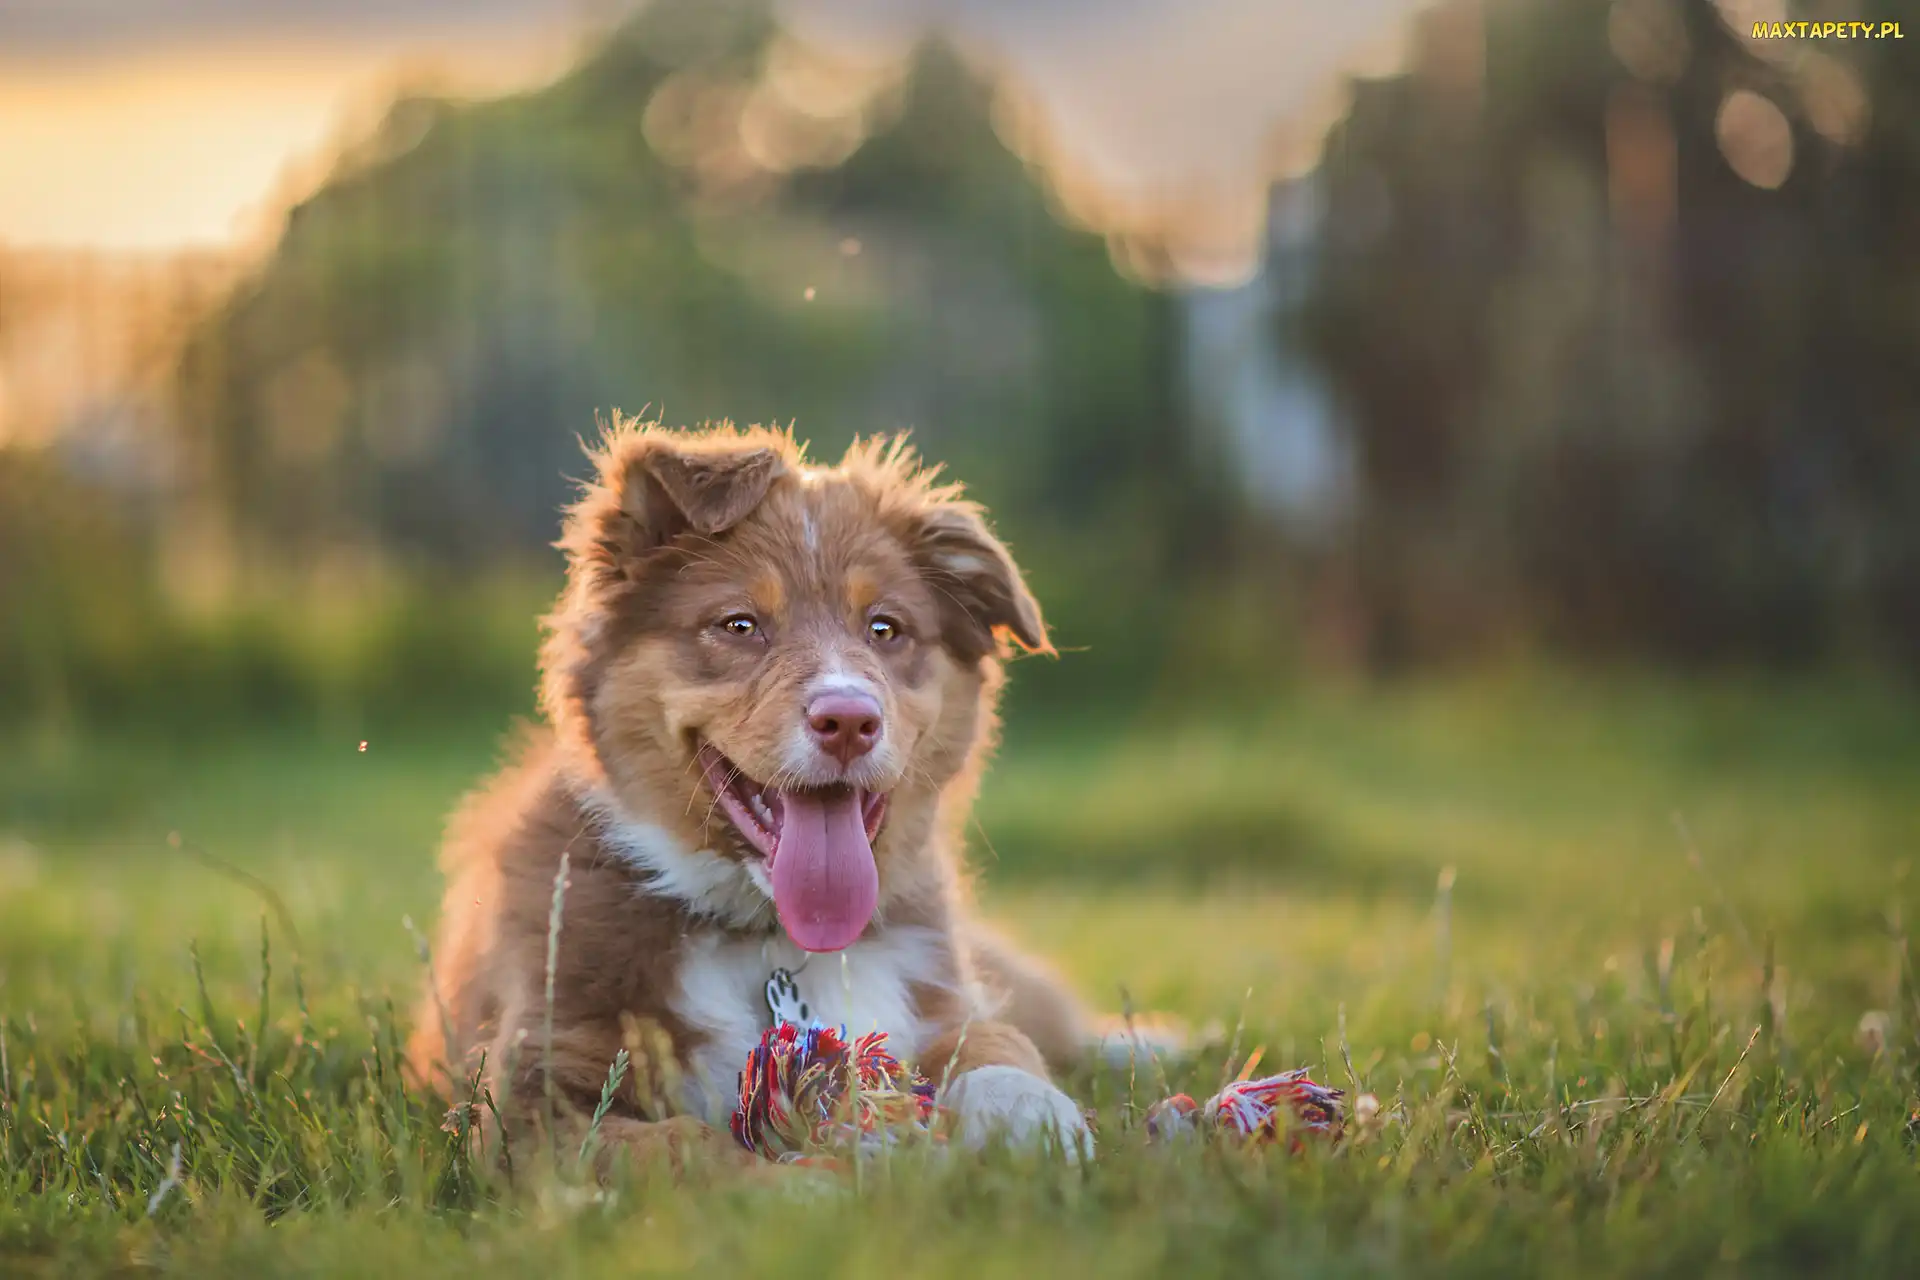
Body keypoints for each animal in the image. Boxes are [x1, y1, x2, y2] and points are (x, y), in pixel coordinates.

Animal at [408, 420, 1121, 1174]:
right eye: (739, 625)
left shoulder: (940, 998)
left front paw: (1034, 1116)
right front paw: (808, 1186)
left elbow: (996, 1041)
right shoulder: (525, 1106)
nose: (849, 722)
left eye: (885, 628)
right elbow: (683, 1149)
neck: (766, 938)